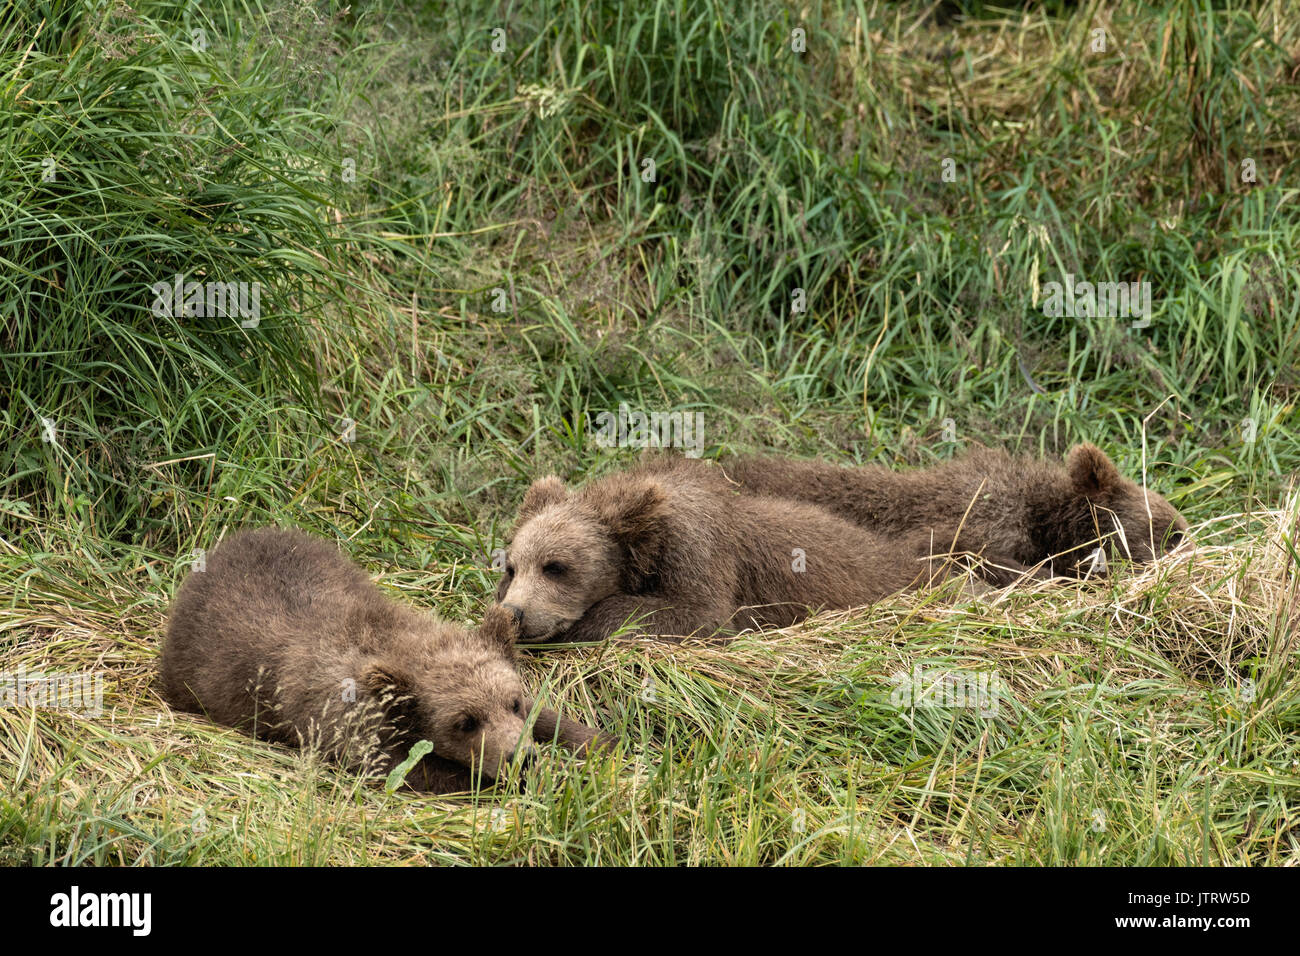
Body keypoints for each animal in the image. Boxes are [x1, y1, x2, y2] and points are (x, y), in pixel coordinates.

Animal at [159, 528, 611, 790]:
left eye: (513, 702)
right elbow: (415, 772)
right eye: (465, 722)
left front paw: (596, 740)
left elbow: (551, 717)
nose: (521, 757)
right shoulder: (346, 723)